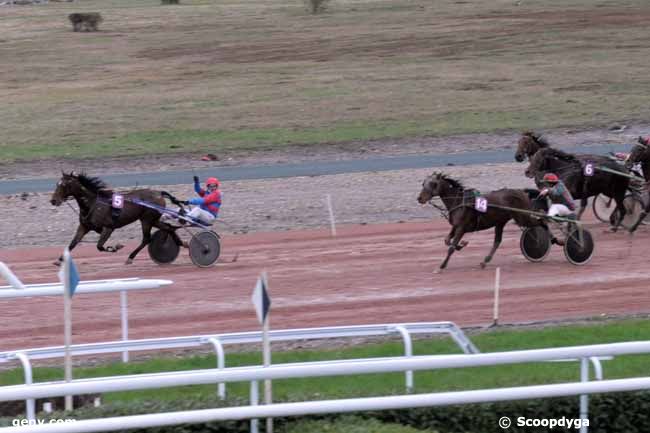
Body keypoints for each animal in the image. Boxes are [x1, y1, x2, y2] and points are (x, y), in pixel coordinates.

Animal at [48, 170, 182, 264]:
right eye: (57, 184)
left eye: (65, 185)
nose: (53, 201)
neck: (93, 204)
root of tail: (159, 193)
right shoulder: (84, 227)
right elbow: (73, 243)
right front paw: (59, 260)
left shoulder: (108, 228)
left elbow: (99, 246)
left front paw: (115, 247)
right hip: (153, 220)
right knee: (168, 227)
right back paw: (180, 243)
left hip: (147, 220)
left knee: (147, 239)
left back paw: (130, 257)